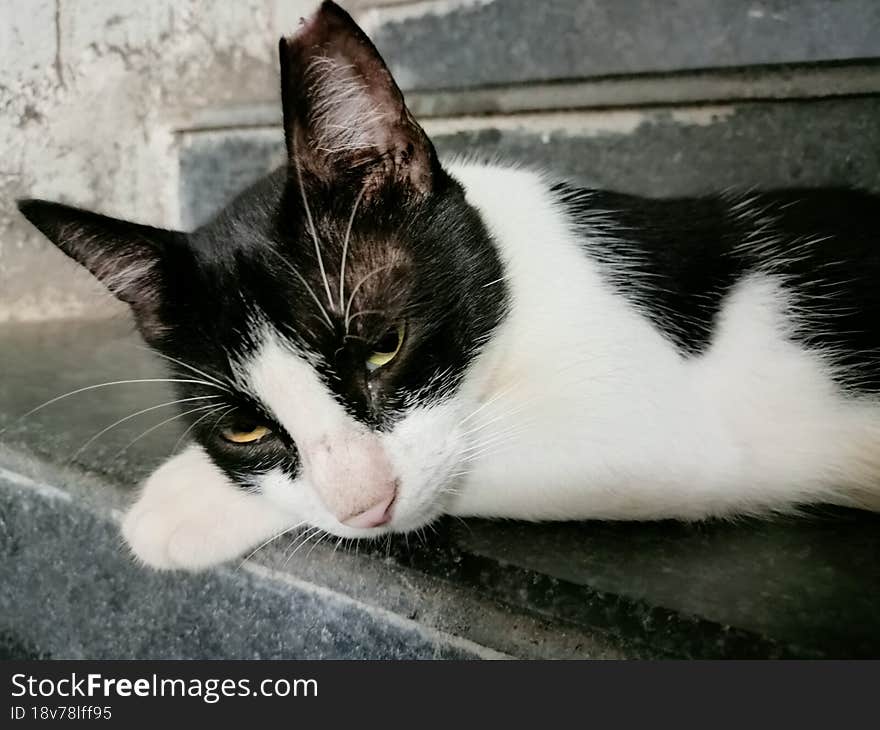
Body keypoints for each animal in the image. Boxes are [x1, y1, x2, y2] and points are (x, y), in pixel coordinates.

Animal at [15, 1, 880, 568]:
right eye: (247, 429)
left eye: (382, 347)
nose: (364, 505)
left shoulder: (665, 425)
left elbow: (470, 462)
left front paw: (184, 501)